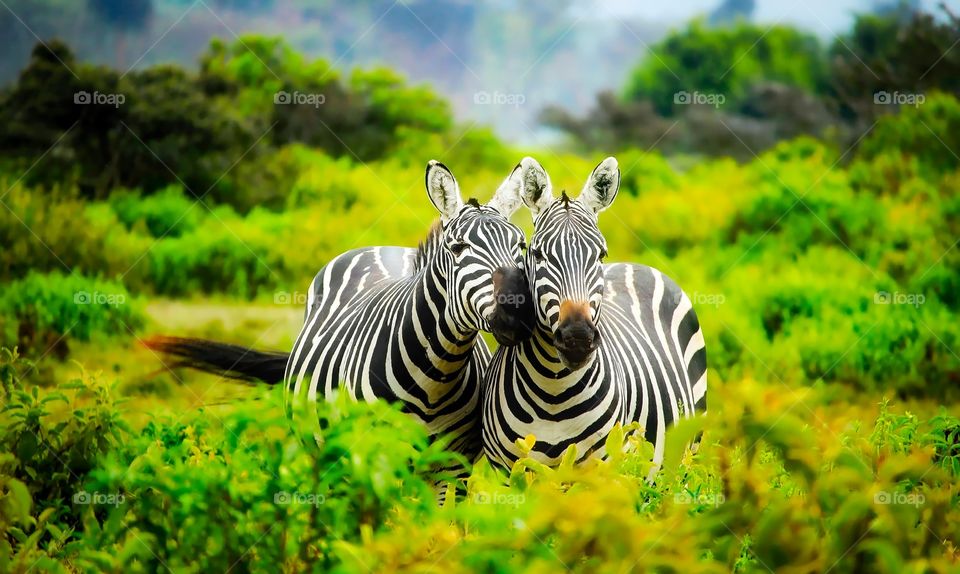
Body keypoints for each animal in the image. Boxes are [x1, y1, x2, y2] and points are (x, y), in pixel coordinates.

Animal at [147, 159, 535, 464]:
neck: (435, 375)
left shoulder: (452, 468)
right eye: (457, 248)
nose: (518, 314)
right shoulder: (373, 457)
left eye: (521, 245)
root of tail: (381, 247)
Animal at [481, 157, 707, 472]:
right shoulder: (508, 471)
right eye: (537, 254)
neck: (553, 392)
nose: (577, 339)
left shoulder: (600, 469)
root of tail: (636, 265)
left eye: (600, 255)